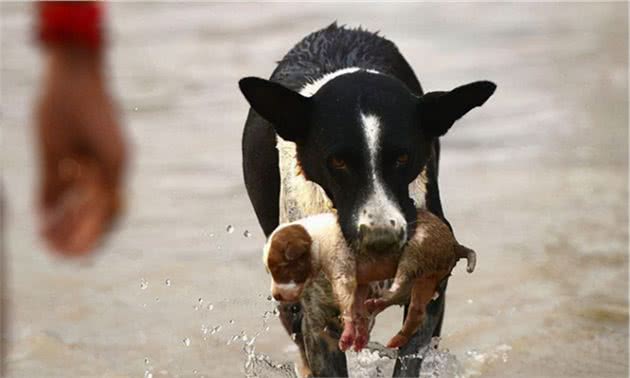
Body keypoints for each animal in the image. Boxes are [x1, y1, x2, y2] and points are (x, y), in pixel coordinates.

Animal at [262, 210, 474, 352]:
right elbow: (356, 309)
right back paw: (384, 316)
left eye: (280, 269)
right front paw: (360, 334)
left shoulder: (343, 274)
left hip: (417, 251)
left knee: (405, 289)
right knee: (411, 305)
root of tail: (455, 244)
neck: (316, 239)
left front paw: (347, 335)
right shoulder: (359, 284)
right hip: (426, 278)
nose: (276, 296)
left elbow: (347, 307)